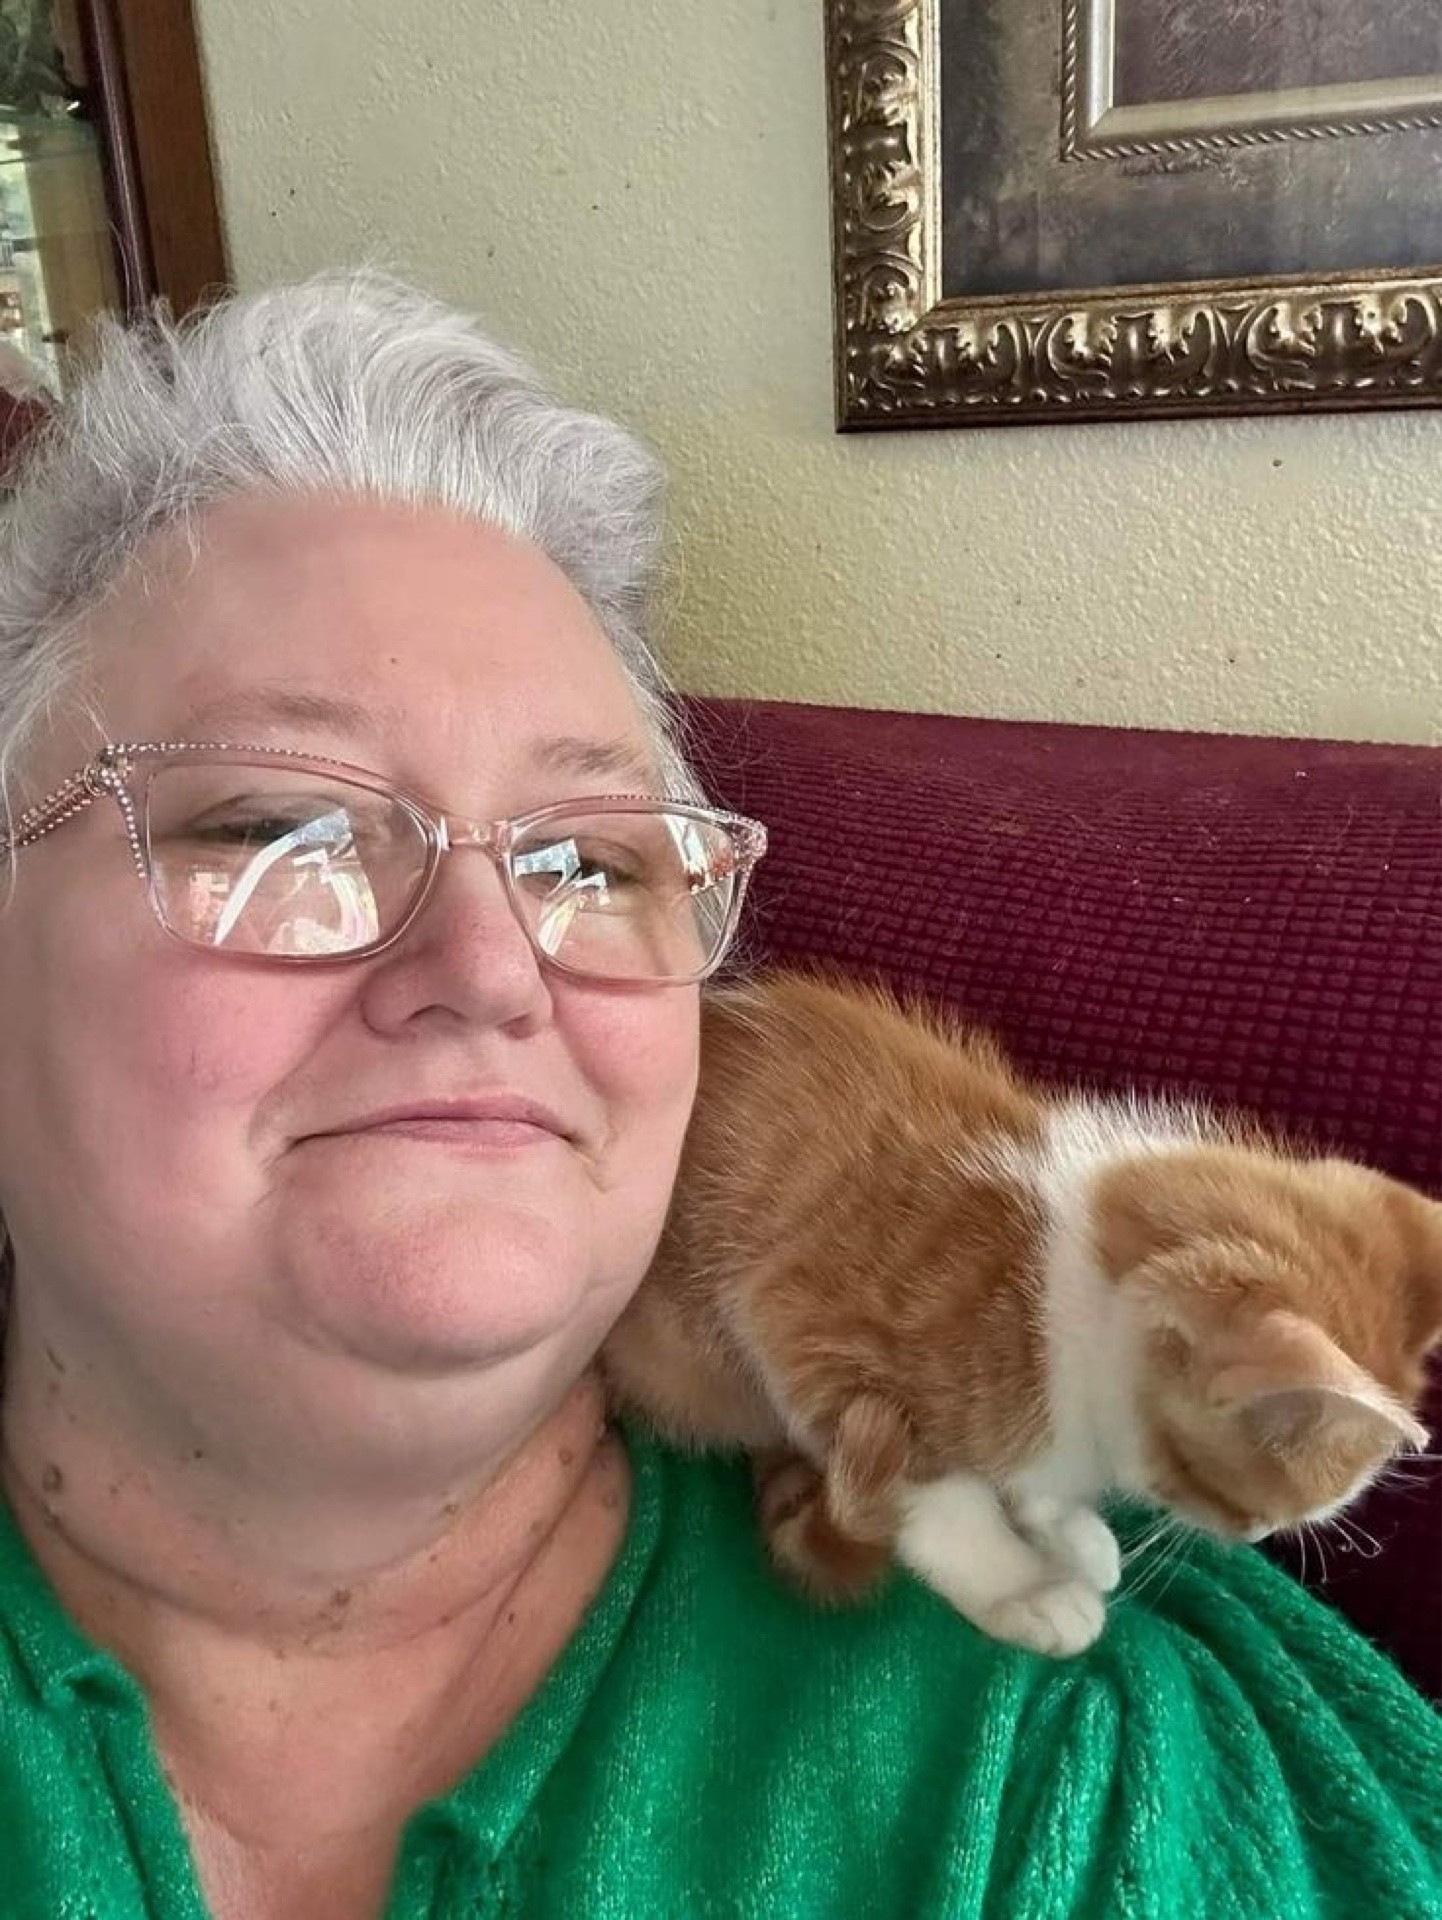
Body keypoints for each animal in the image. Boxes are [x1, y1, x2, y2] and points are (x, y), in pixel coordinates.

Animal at [601, 970, 1442, 1658]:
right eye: (1239, 1500)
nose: (1259, 1536)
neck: (1065, 1290)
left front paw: (1067, 1527)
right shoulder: (807, 1325)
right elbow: (940, 1498)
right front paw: (1023, 1586)